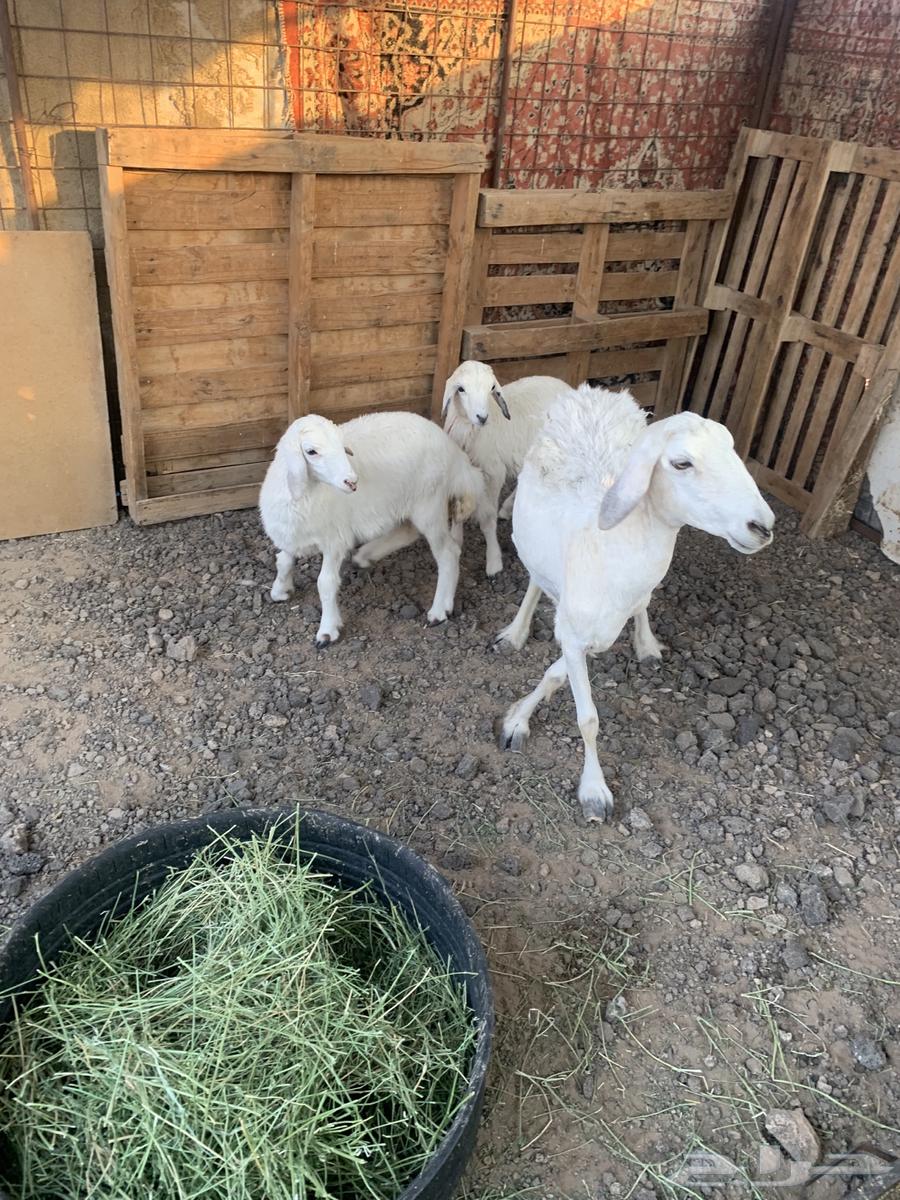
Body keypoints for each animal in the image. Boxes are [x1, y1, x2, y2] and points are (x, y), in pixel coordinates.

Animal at [259, 411, 483, 647]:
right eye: (311, 451)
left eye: (342, 446)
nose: (351, 481)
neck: (303, 496)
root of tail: (453, 451)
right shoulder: (291, 535)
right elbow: (283, 561)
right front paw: (279, 591)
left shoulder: (334, 541)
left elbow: (325, 583)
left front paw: (328, 630)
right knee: (408, 531)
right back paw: (365, 555)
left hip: (429, 502)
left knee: (448, 552)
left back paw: (440, 609)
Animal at [441, 361, 577, 575]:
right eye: (461, 389)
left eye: (491, 388)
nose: (482, 417)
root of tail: (568, 388)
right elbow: (457, 508)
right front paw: (456, 538)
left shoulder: (494, 472)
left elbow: (487, 518)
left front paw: (494, 561)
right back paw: (508, 507)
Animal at [496, 383, 775, 822]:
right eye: (681, 463)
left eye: (732, 448)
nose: (762, 526)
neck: (611, 545)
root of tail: (594, 392)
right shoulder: (575, 632)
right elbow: (587, 717)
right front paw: (593, 789)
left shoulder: (594, 630)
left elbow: (557, 675)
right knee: (536, 580)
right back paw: (516, 630)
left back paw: (646, 644)